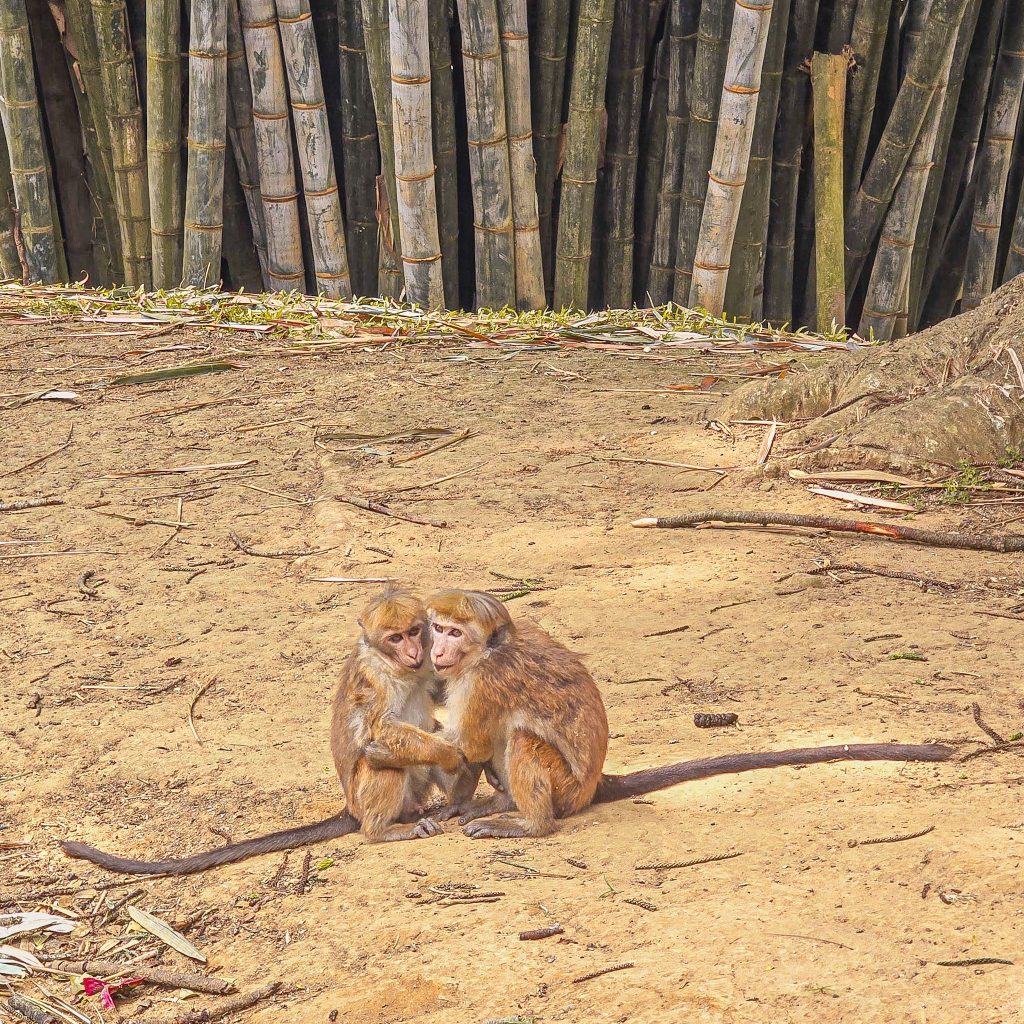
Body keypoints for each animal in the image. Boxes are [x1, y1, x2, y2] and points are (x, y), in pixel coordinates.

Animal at [60, 588, 468, 874]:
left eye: (414, 631)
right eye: (395, 638)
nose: (414, 651)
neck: (398, 668)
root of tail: (351, 809)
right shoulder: (374, 677)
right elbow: (379, 731)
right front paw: (449, 752)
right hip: (363, 795)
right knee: (382, 759)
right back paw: (382, 830)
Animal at [362, 589, 953, 840]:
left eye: (452, 632)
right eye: (436, 629)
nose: (437, 649)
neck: (486, 651)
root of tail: (594, 785)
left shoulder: (483, 680)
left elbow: (470, 745)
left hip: (567, 787)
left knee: (523, 741)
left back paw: (531, 824)